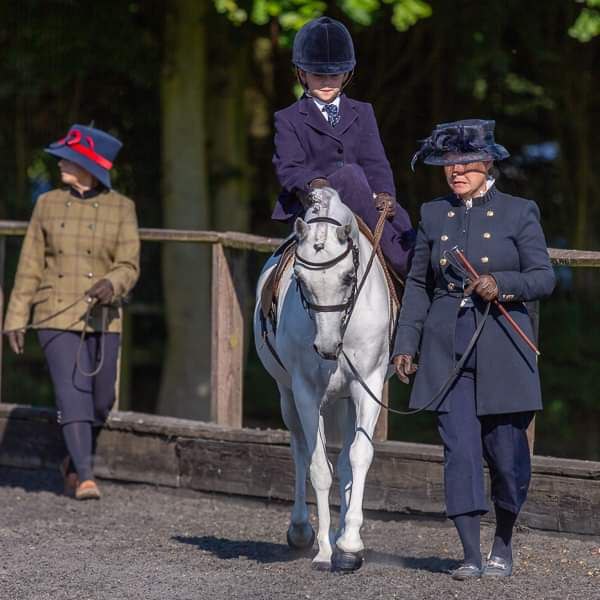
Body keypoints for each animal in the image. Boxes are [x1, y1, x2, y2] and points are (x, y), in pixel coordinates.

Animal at [253, 188, 394, 572]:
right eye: (301, 281)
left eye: (348, 277)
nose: (328, 347)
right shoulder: (305, 393)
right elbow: (318, 467)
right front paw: (326, 550)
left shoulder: (367, 387)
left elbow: (358, 457)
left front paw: (349, 545)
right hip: (287, 396)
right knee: (301, 451)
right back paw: (302, 531)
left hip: (346, 399)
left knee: (345, 462)